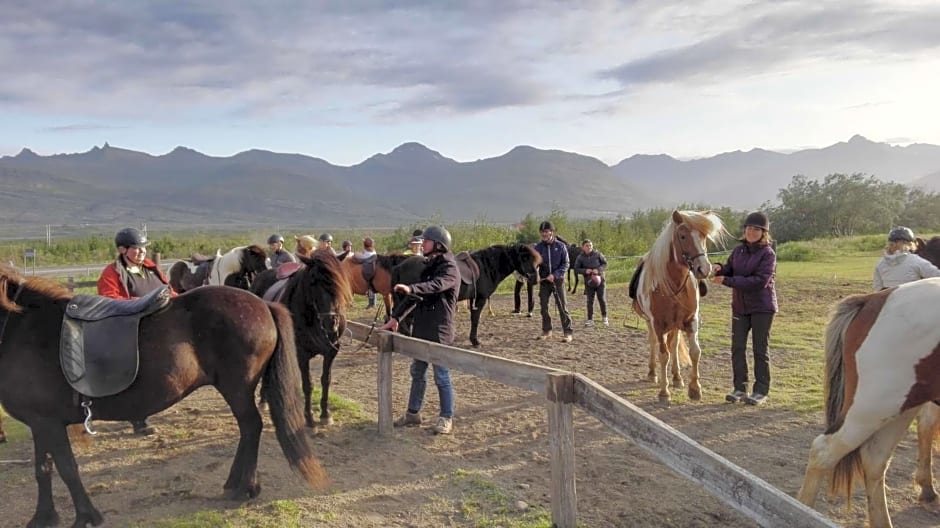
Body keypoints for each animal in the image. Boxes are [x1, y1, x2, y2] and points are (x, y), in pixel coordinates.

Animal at [0, 266, 326, 528]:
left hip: (237, 388)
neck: (22, 328)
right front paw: (43, 517)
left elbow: (66, 469)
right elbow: (43, 469)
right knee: (248, 431)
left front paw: (85, 516)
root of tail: (263, 304)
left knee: (251, 427)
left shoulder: (49, 423)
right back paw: (236, 483)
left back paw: (243, 487)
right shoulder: (40, 424)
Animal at [250, 252, 352, 428]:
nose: (331, 322)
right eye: (312, 281)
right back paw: (263, 401)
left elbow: (326, 380)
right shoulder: (301, 354)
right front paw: (309, 418)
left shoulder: (331, 351)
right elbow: (307, 384)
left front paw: (325, 415)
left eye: (338, 281)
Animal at [390, 243, 540, 346]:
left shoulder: (473, 299)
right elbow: (475, 319)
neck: (486, 266)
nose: (535, 279)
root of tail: (399, 266)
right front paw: (475, 341)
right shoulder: (480, 299)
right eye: (525, 258)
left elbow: (474, 318)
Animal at [632, 208, 728, 402]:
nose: (704, 269)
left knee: (675, 345)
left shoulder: (691, 320)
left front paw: (695, 388)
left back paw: (676, 377)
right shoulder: (658, 324)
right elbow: (663, 355)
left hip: (675, 325)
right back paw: (652, 374)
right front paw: (664, 392)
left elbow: (694, 352)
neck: (673, 285)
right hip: (650, 323)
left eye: (703, 236)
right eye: (683, 236)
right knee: (653, 343)